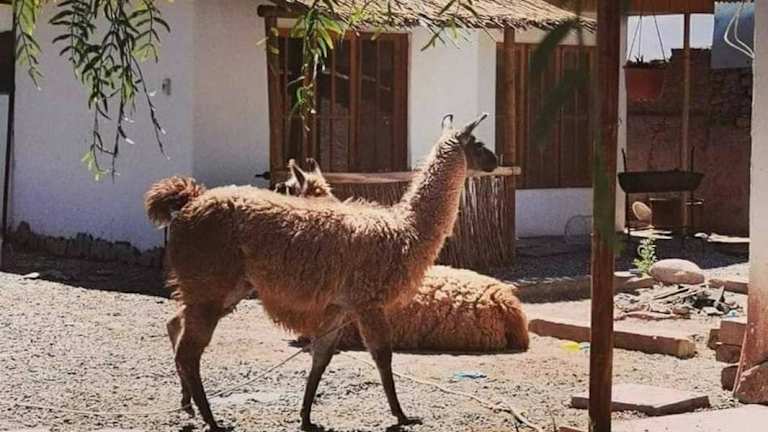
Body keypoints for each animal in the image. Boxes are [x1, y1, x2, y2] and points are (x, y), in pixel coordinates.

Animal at [145, 113, 497, 431]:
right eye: (478, 144)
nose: (495, 160)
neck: (407, 229)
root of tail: (187, 204)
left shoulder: (339, 307)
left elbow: (321, 359)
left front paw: (306, 417)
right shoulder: (368, 302)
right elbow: (383, 356)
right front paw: (402, 416)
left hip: (221, 288)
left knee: (176, 326)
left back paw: (188, 404)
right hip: (210, 281)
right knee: (189, 351)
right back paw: (211, 420)